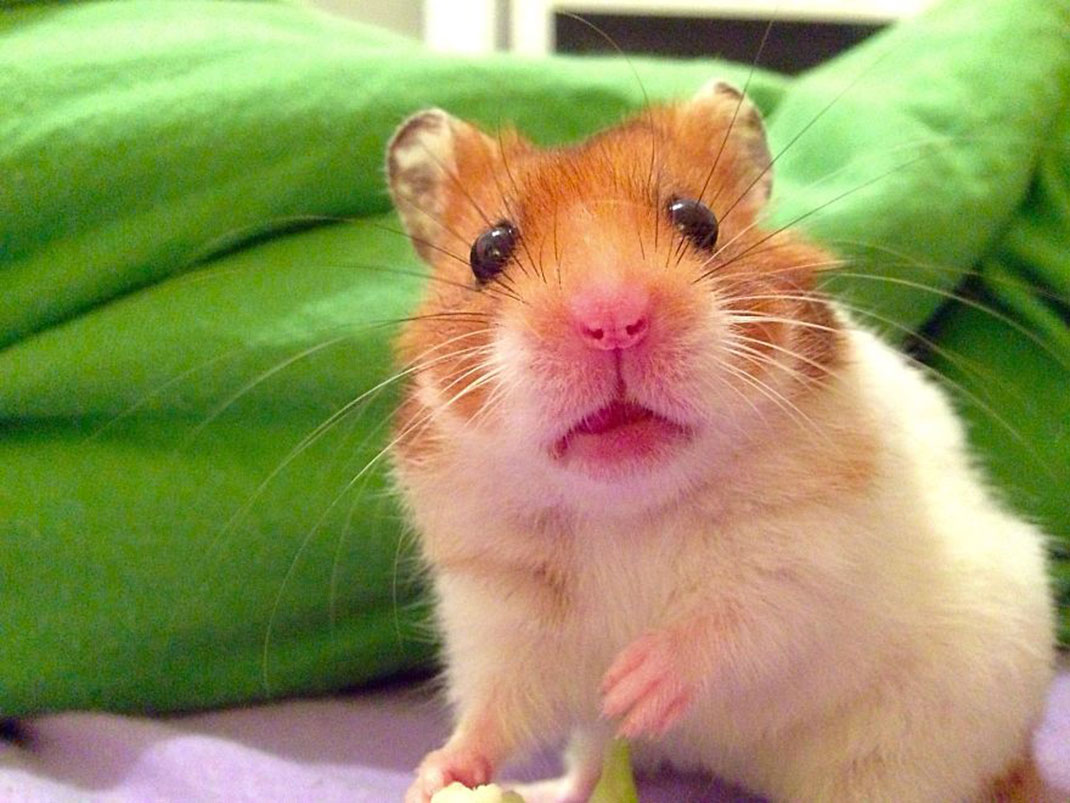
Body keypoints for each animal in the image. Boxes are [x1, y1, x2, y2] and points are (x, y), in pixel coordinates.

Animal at [384, 80, 1056, 803]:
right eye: (489, 249)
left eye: (697, 218)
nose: (613, 318)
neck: (626, 508)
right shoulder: (495, 604)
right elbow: (495, 707)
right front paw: (435, 775)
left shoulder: (811, 554)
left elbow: (736, 622)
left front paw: (632, 684)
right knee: (588, 763)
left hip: (907, 747)